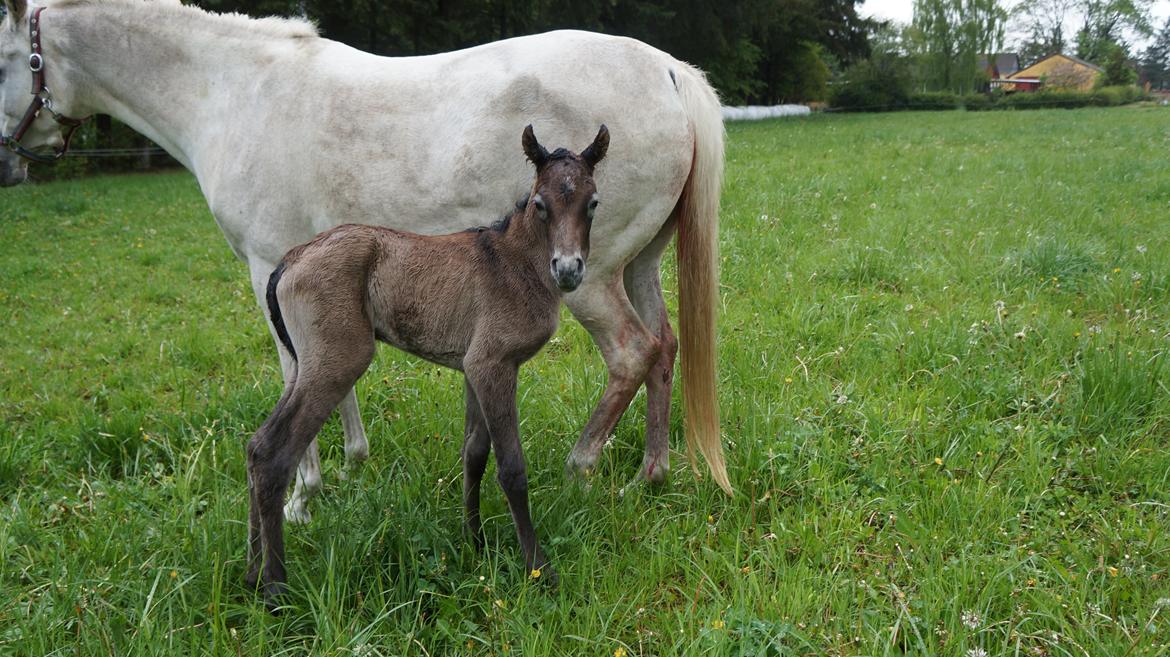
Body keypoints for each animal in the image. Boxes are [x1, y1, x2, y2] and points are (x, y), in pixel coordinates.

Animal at [0, 0, 730, 519]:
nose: (9, 164)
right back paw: (651, 474)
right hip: (638, 265)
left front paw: (302, 495)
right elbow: (331, 376)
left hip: (589, 278)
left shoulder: (266, 268)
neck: (233, 90)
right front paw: (350, 465)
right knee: (664, 348)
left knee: (632, 354)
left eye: (4, 59)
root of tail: (669, 73)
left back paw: (581, 467)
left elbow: (294, 369)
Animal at [246, 122, 613, 603]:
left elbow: (474, 453)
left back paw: (251, 575)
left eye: (592, 203)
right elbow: (511, 467)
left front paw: (474, 542)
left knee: (256, 445)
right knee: (275, 454)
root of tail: (291, 259)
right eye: (540, 204)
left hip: (302, 362)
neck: (513, 261)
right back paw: (275, 590)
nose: (568, 270)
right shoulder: (494, 364)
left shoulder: (474, 367)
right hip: (335, 361)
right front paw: (539, 568)